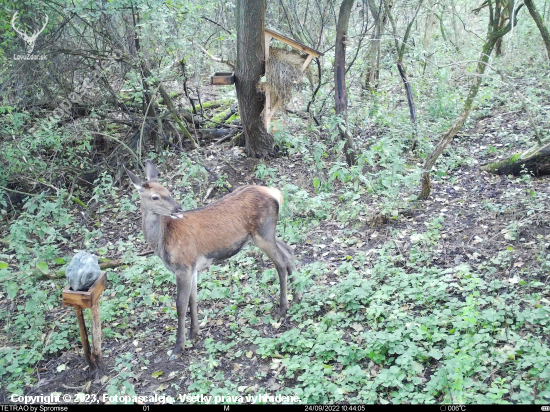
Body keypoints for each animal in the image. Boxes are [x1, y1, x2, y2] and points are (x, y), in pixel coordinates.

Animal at [126, 159, 302, 358]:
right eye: (155, 197)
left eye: (168, 191)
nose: (178, 209)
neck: (163, 240)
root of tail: (274, 193)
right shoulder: (192, 267)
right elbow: (193, 298)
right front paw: (194, 334)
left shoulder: (183, 266)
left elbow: (180, 304)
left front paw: (178, 347)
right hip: (266, 234)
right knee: (289, 251)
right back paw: (297, 297)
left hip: (262, 232)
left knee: (280, 262)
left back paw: (282, 309)